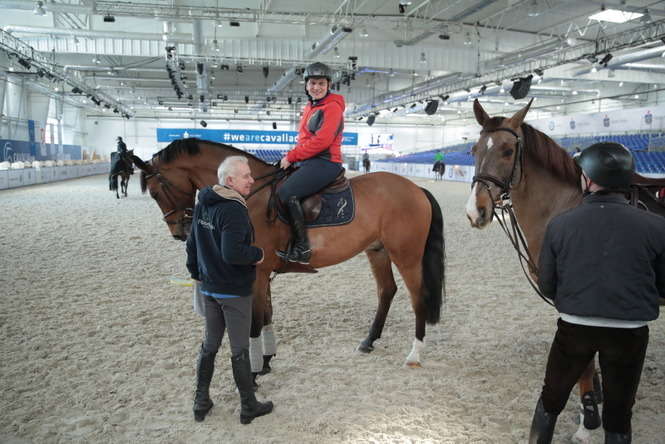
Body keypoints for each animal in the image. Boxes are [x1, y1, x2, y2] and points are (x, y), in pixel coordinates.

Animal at [130, 138, 445, 373]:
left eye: (156, 192)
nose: (179, 232)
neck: (251, 195)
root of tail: (416, 188)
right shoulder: (262, 272)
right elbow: (267, 315)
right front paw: (267, 359)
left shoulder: (257, 273)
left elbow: (256, 322)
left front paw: (256, 369)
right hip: (377, 251)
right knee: (386, 291)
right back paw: (368, 341)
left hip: (406, 254)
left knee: (418, 297)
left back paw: (415, 354)